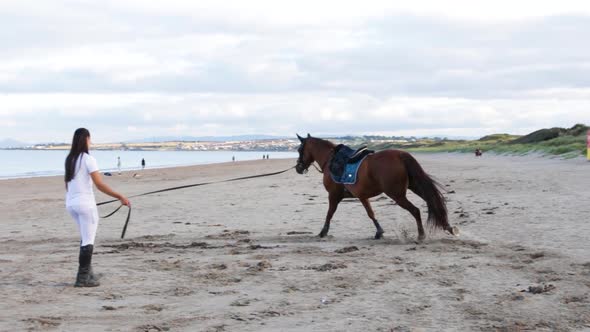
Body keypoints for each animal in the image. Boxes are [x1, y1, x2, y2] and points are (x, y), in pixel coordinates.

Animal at [298, 133, 460, 241]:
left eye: (299, 150)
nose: (298, 168)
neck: (331, 160)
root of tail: (400, 155)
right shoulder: (362, 196)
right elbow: (371, 213)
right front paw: (379, 232)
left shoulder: (333, 195)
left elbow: (330, 213)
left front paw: (323, 232)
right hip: (415, 186)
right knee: (432, 201)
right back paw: (447, 227)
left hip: (397, 195)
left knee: (415, 210)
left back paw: (421, 235)